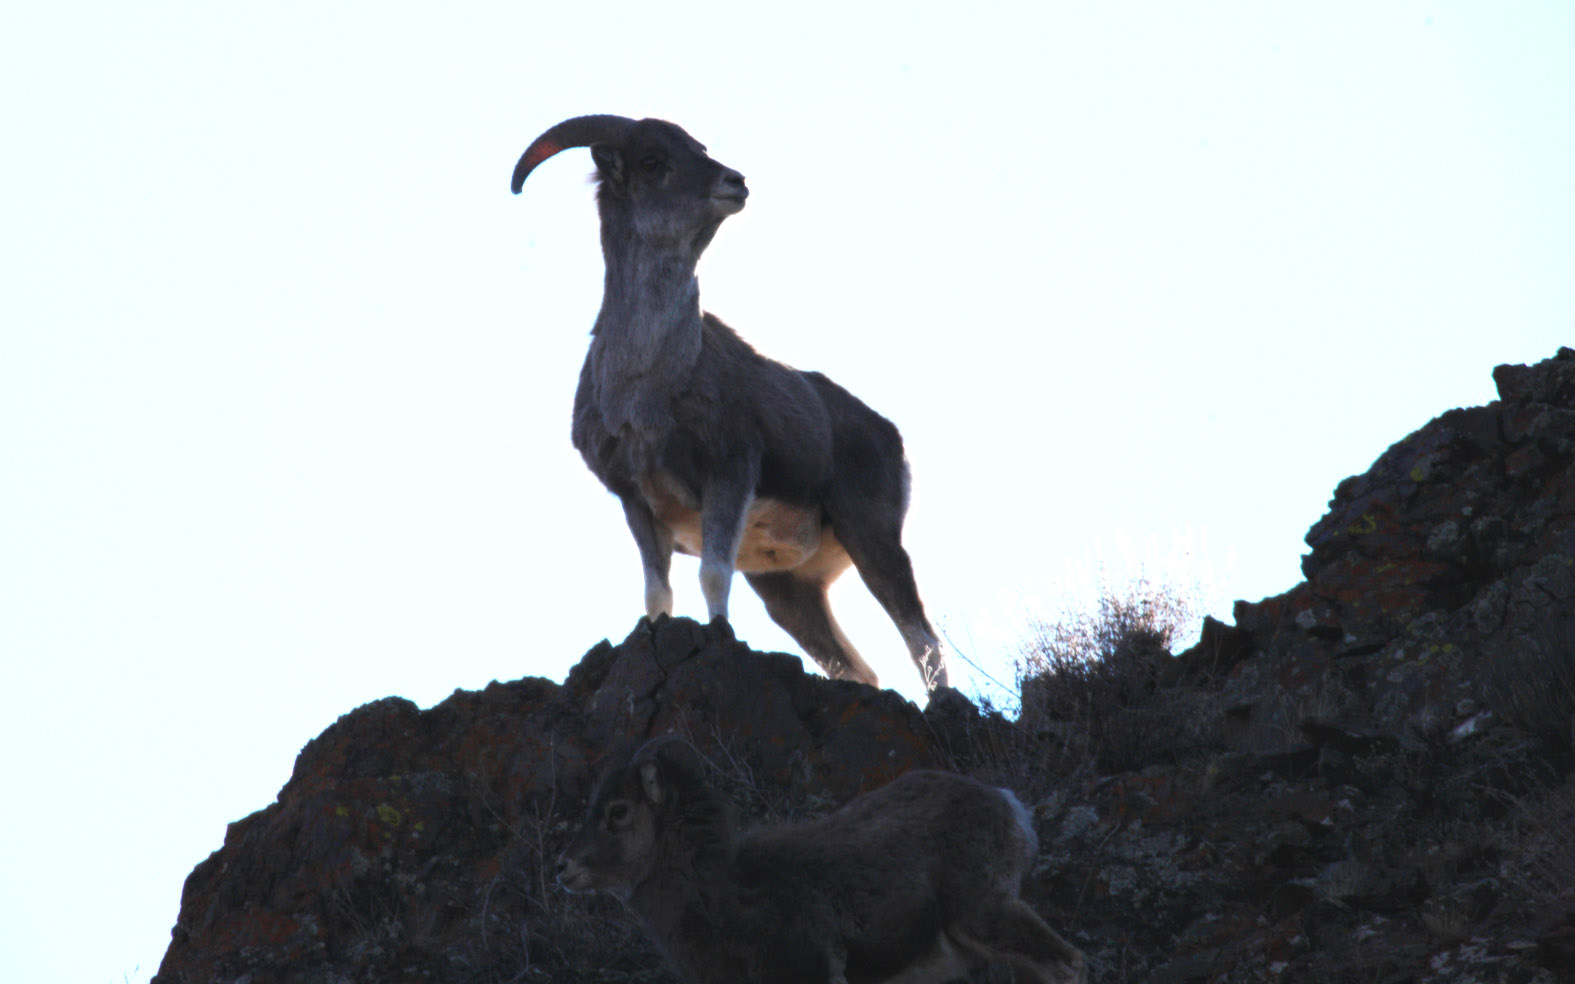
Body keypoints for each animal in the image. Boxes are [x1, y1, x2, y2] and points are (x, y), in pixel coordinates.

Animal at [510, 113, 945, 689]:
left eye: (698, 149)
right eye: (653, 160)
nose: (734, 183)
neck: (645, 389)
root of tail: (887, 435)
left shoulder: (727, 477)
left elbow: (712, 575)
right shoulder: (636, 503)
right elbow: (658, 594)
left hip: (871, 537)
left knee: (922, 640)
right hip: (789, 593)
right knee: (858, 670)